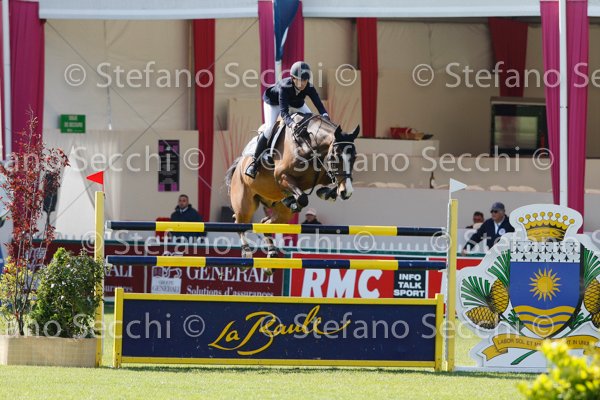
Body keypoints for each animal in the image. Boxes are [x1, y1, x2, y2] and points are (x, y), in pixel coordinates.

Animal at [225, 114, 360, 261]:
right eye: (336, 156)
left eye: (354, 157)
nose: (347, 192)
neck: (308, 144)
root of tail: (238, 165)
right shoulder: (282, 176)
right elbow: (303, 198)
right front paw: (295, 202)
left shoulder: (323, 176)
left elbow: (332, 183)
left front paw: (326, 193)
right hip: (244, 203)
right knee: (239, 222)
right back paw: (247, 251)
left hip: (282, 212)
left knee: (266, 223)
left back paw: (272, 252)